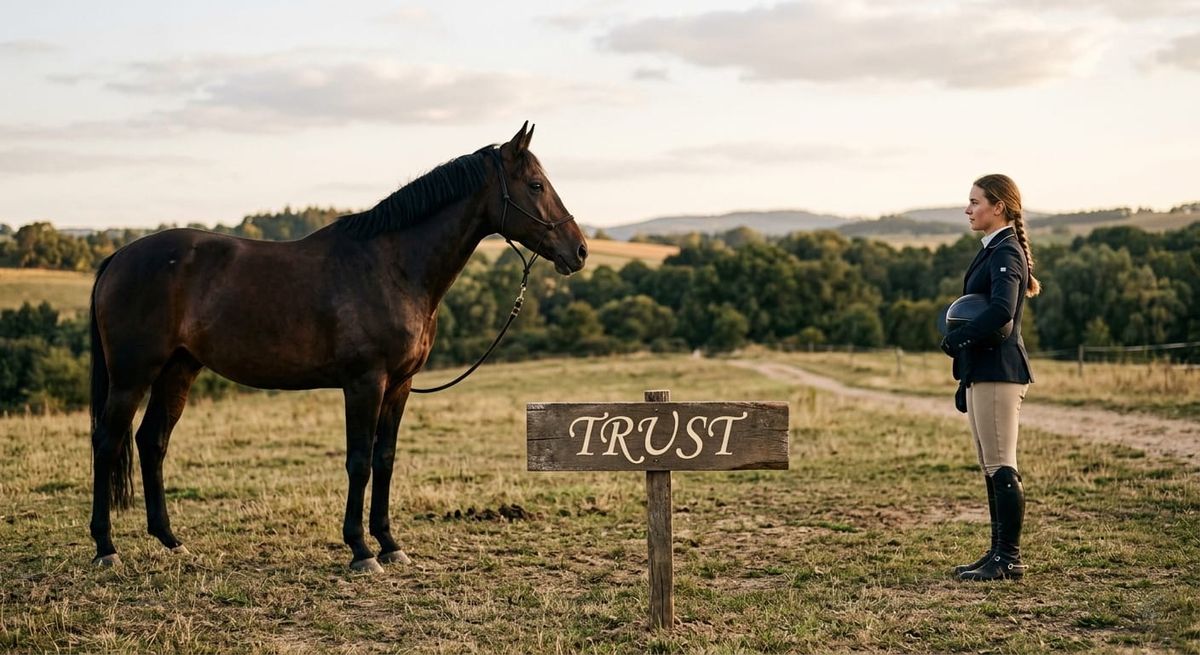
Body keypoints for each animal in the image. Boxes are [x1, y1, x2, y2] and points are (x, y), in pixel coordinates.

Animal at [88, 123, 588, 572]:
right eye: (536, 184)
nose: (579, 251)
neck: (392, 266)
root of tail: (119, 257)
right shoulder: (365, 383)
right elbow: (359, 462)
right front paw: (361, 551)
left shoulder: (400, 385)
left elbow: (385, 460)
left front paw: (390, 544)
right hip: (132, 376)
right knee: (107, 442)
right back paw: (106, 548)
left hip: (178, 370)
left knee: (152, 441)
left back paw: (171, 540)